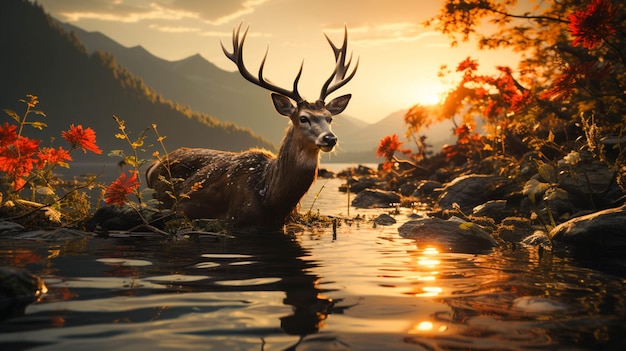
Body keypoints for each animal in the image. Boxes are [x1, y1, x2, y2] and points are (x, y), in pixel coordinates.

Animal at [145, 24, 356, 228]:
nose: (330, 138)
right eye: (303, 118)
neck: (271, 198)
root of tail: (152, 166)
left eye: (329, 118)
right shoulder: (235, 217)